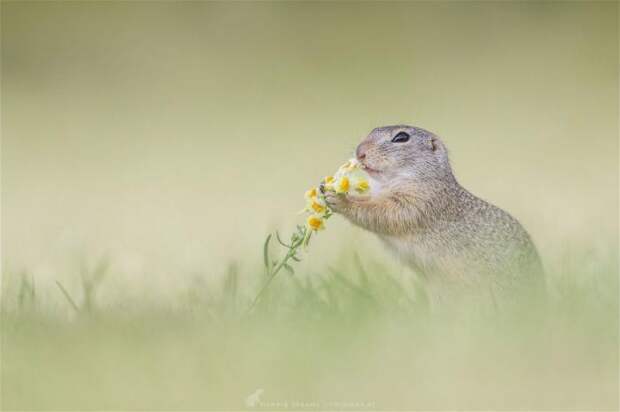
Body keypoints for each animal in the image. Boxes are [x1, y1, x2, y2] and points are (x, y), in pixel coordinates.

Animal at [324, 124, 544, 304]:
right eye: (372, 130)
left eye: (401, 137)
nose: (360, 152)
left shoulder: (420, 202)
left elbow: (382, 214)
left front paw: (338, 198)